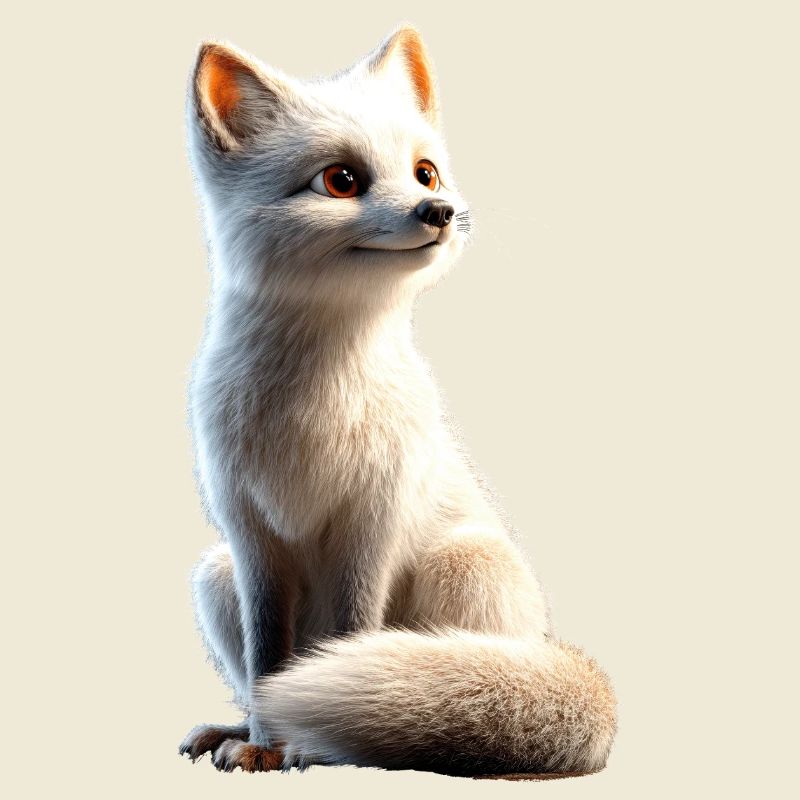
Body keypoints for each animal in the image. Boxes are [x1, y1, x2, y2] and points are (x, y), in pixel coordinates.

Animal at [179, 24, 616, 778]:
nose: (437, 212)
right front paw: (264, 741)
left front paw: (312, 748)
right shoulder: (251, 534)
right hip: (215, 575)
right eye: (342, 180)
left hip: (462, 564)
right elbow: (269, 661)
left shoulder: (373, 517)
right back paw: (237, 728)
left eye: (425, 172)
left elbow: (353, 634)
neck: (313, 408)